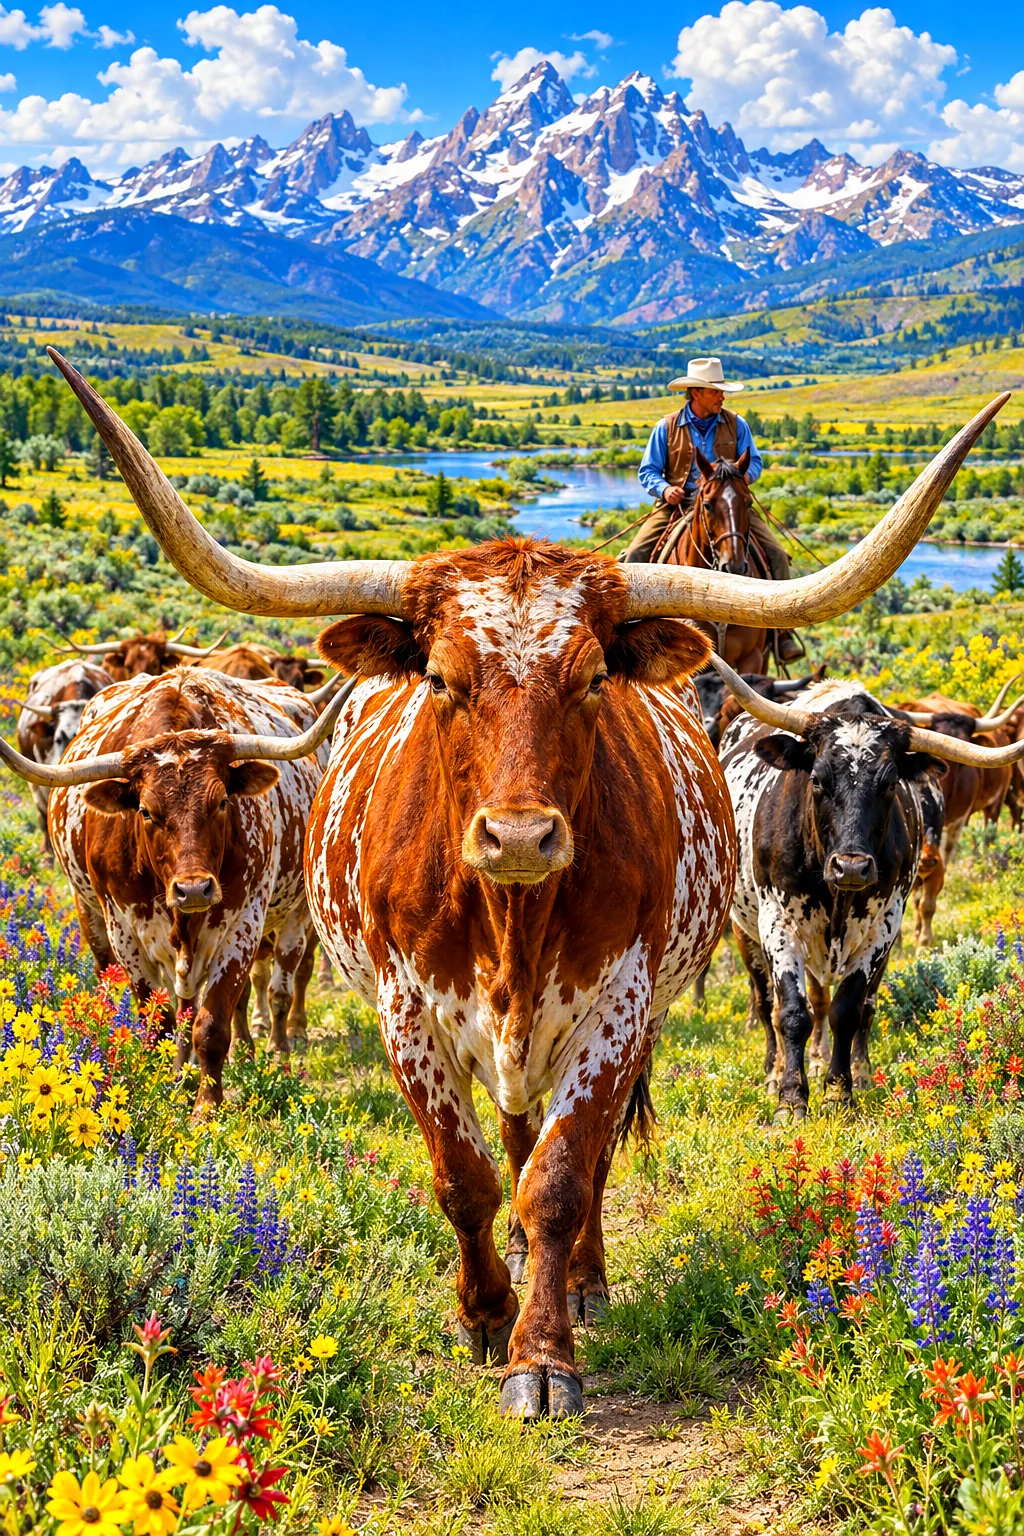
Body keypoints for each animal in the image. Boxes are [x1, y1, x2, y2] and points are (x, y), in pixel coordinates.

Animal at [716, 662, 1015, 1120]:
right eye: (816, 779)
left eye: (891, 784)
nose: (852, 866)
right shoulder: (778, 925)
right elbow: (792, 1012)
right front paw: (790, 1098)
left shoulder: (883, 927)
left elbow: (848, 1009)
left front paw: (839, 1090)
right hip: (745, 929)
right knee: (766, 1002)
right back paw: (774, 1070)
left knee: (846, 1004)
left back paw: (851, 1069)